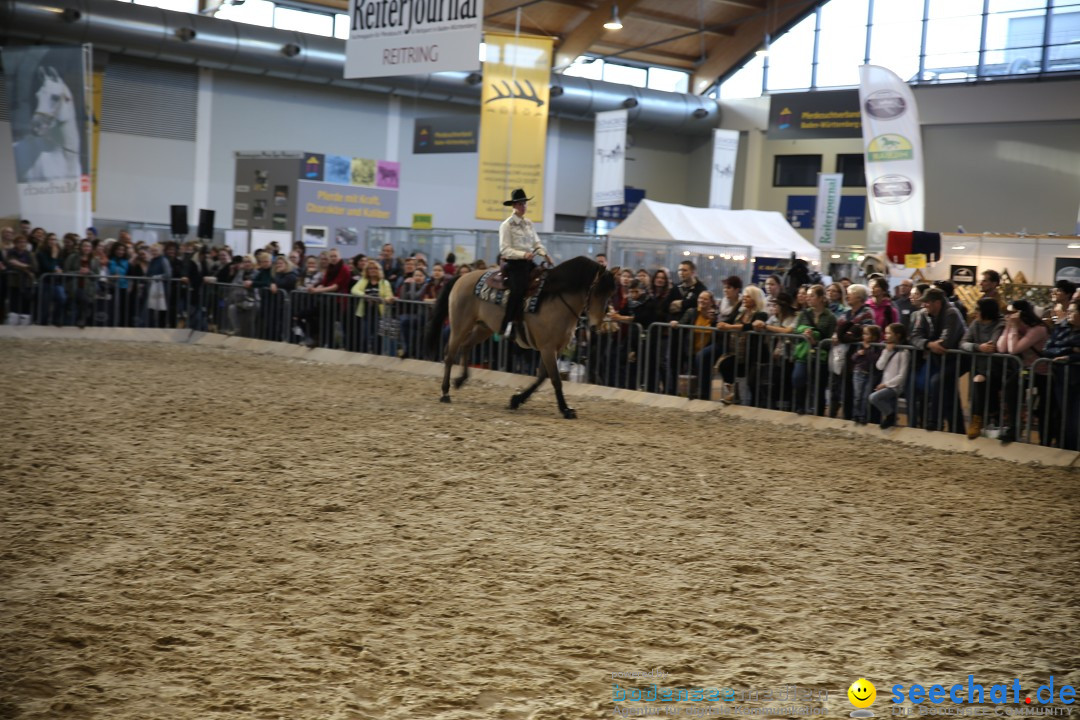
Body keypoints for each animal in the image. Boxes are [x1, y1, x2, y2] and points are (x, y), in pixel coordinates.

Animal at [425, 255, 622, 418]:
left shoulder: (554, 349)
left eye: (610, 293)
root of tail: (461, 277)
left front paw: (516, 400)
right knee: (449, 355)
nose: (596, 326)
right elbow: (555, 380)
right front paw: (566, 409)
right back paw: (445, 393)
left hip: (484, 328)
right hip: (460, 325)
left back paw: (460, 380)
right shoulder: (547, 348)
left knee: (466, 346)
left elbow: (542, 377)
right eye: (596, 291)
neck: (557, 298)